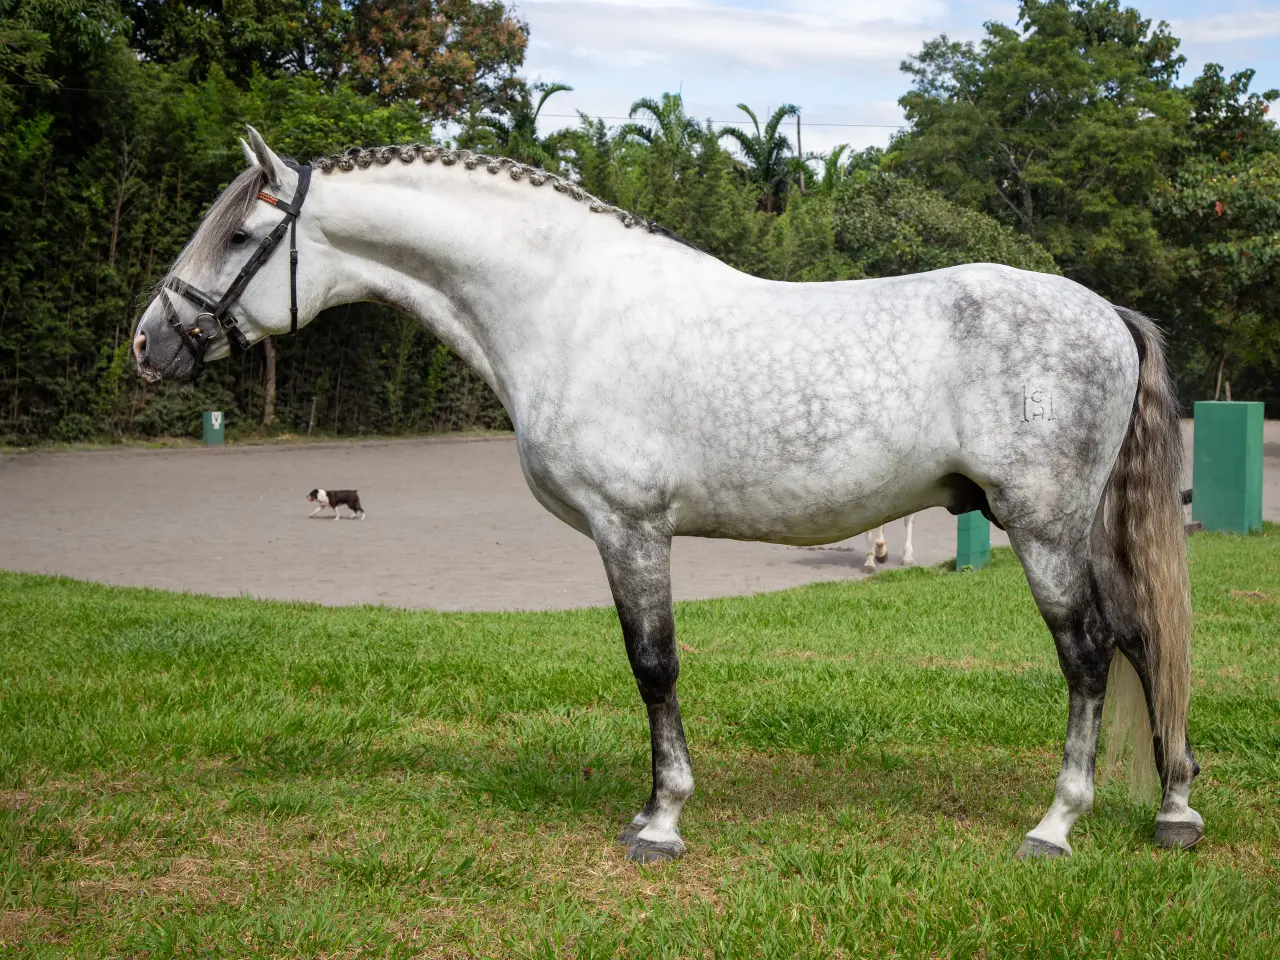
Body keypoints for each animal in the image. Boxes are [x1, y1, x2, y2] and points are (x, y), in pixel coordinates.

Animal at [132, 128, 1203, 862]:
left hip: (1043, 528)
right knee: (1141, 636)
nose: (148, 343)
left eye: (241, 233)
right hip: (1081, 530)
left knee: (1088, 652)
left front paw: (661, 819)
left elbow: (653, 665)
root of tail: (1103, 310)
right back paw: (1175, 808)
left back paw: (1057, 824)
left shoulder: (630, 528)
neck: (565, 305)